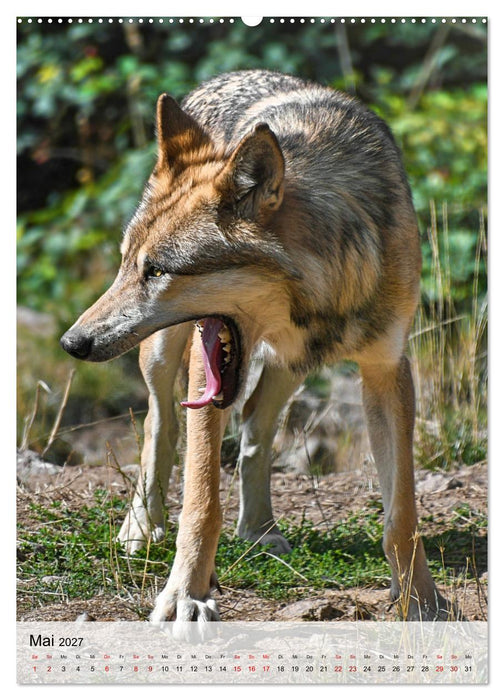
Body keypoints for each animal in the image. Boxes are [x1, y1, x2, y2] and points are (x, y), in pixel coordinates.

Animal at [60, 69, 450, 625]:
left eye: (156, 271)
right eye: (128, 265)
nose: (71, 342)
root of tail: (226, 77)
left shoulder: (386, 369)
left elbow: (402, 512)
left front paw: (419, 599)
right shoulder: (207, 366)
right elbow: (201, 501)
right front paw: (186, 594)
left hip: (292, 367)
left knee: (254, 434)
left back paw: (260, 530)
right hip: (164, 355)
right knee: (161, 423)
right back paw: (142, 526)